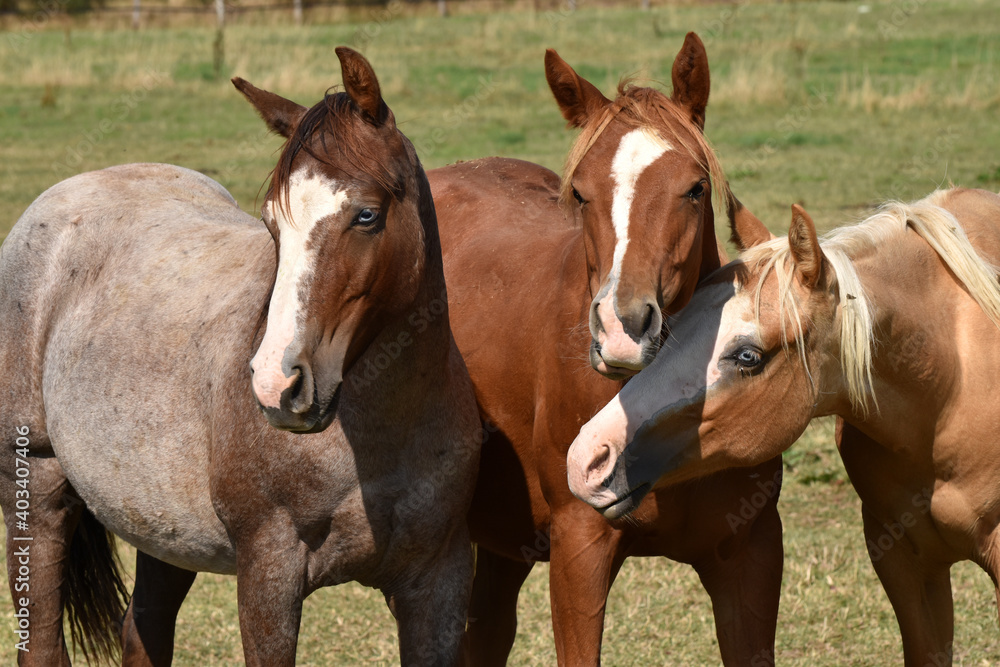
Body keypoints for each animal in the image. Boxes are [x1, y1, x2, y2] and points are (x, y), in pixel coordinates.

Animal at [0, 47, 481, 666]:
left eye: (367, 215)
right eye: (273, 222)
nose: (277, 385)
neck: (381, 437)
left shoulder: (437, 582)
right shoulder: (268, 575)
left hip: (164, 530)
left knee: (144, 627)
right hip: (37, 491)